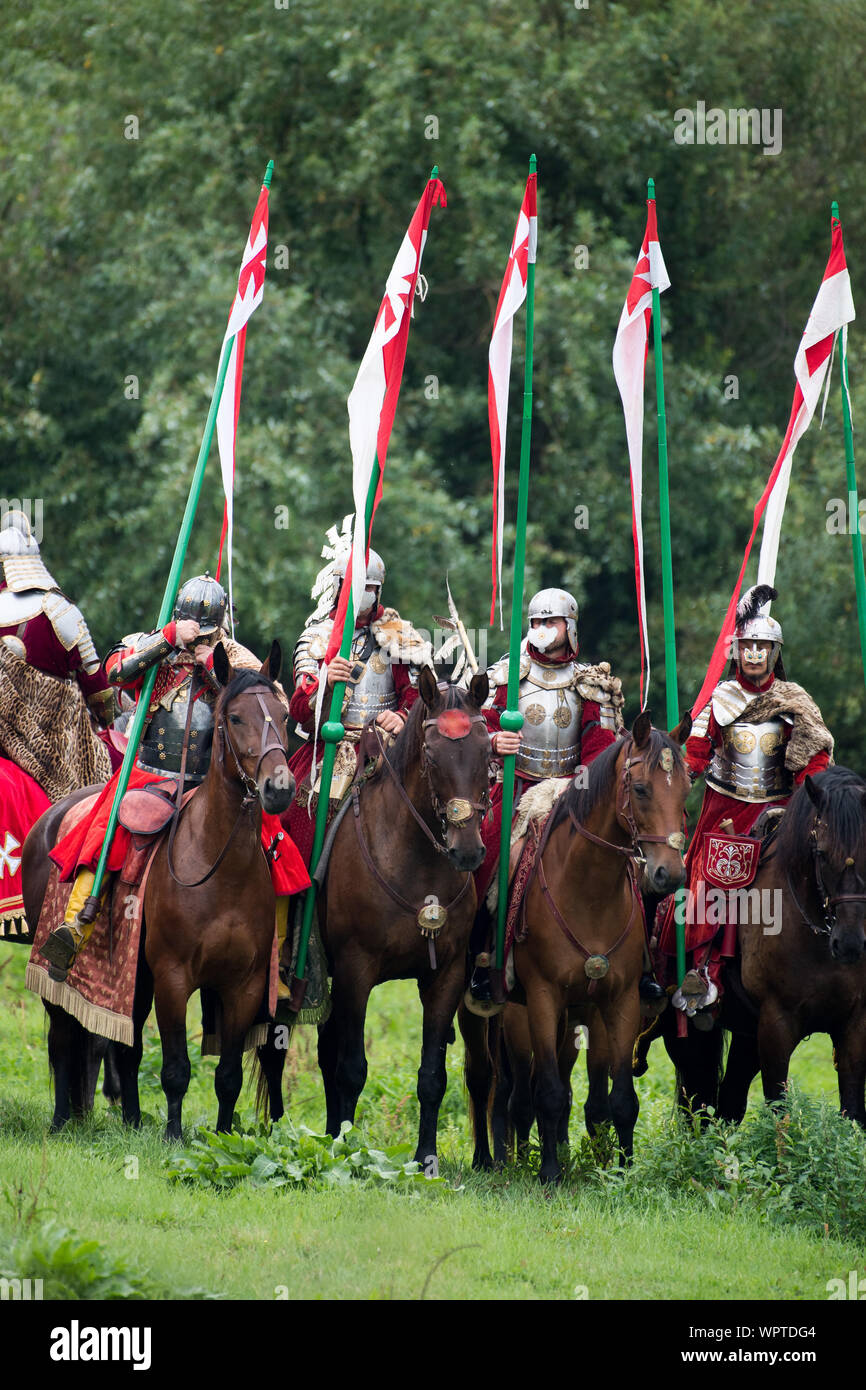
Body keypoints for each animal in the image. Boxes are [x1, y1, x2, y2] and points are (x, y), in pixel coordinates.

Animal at [21, 644, 294, 1134]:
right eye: (236, 718)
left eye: (283, 714)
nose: (279, 788)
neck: (219, 866)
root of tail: (51, 818)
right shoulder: (173, 976)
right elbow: (176, 1069)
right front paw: (173, 1136)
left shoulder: (242, 985)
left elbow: (228, 1075)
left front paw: (223, 1137)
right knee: (63, 1037)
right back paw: (60, 1120)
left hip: (135, 978)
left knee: (124, 1047)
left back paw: (130, 1119)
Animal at [257, 667, 492, 1167]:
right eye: (432, 755)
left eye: (485, 750)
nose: (468, 852)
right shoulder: (356, 971)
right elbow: (351, 1068)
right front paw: (346, 1150)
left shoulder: (445, 976)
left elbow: (432, 1075)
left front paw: (426, 1158)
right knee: (276, 1050)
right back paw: (277, 1131)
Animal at [461, 717, 692, 1184]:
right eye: (641, 788)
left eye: (686, 789)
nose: (669, 874)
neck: (588, 891)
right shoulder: (542, 999)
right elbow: (548, 1091)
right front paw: (550, 1171)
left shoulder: (618, 1003)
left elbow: (620, 1099)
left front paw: (622, 1171)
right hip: (491, 1013)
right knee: (488, 1079)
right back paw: (490, 1159)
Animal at [647, 767, 866, 1123]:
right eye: (820, 853)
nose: (849, 943)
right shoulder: (777, 1024)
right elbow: (779, 1111)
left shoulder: (854, 1024)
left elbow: (852, 1111)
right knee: (698, 1104)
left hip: (746, 1034)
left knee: (726, 1102)